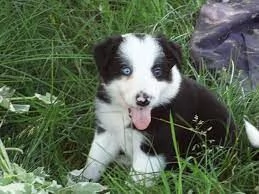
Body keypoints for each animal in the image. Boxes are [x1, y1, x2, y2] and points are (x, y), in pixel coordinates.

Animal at [70, 33, 238, 186]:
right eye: (126, 70)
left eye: (157, 71)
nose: (143, 100)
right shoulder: (108, 130)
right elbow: (95, 160)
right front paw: (82, 181)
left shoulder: (154, 146)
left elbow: (137, 179)